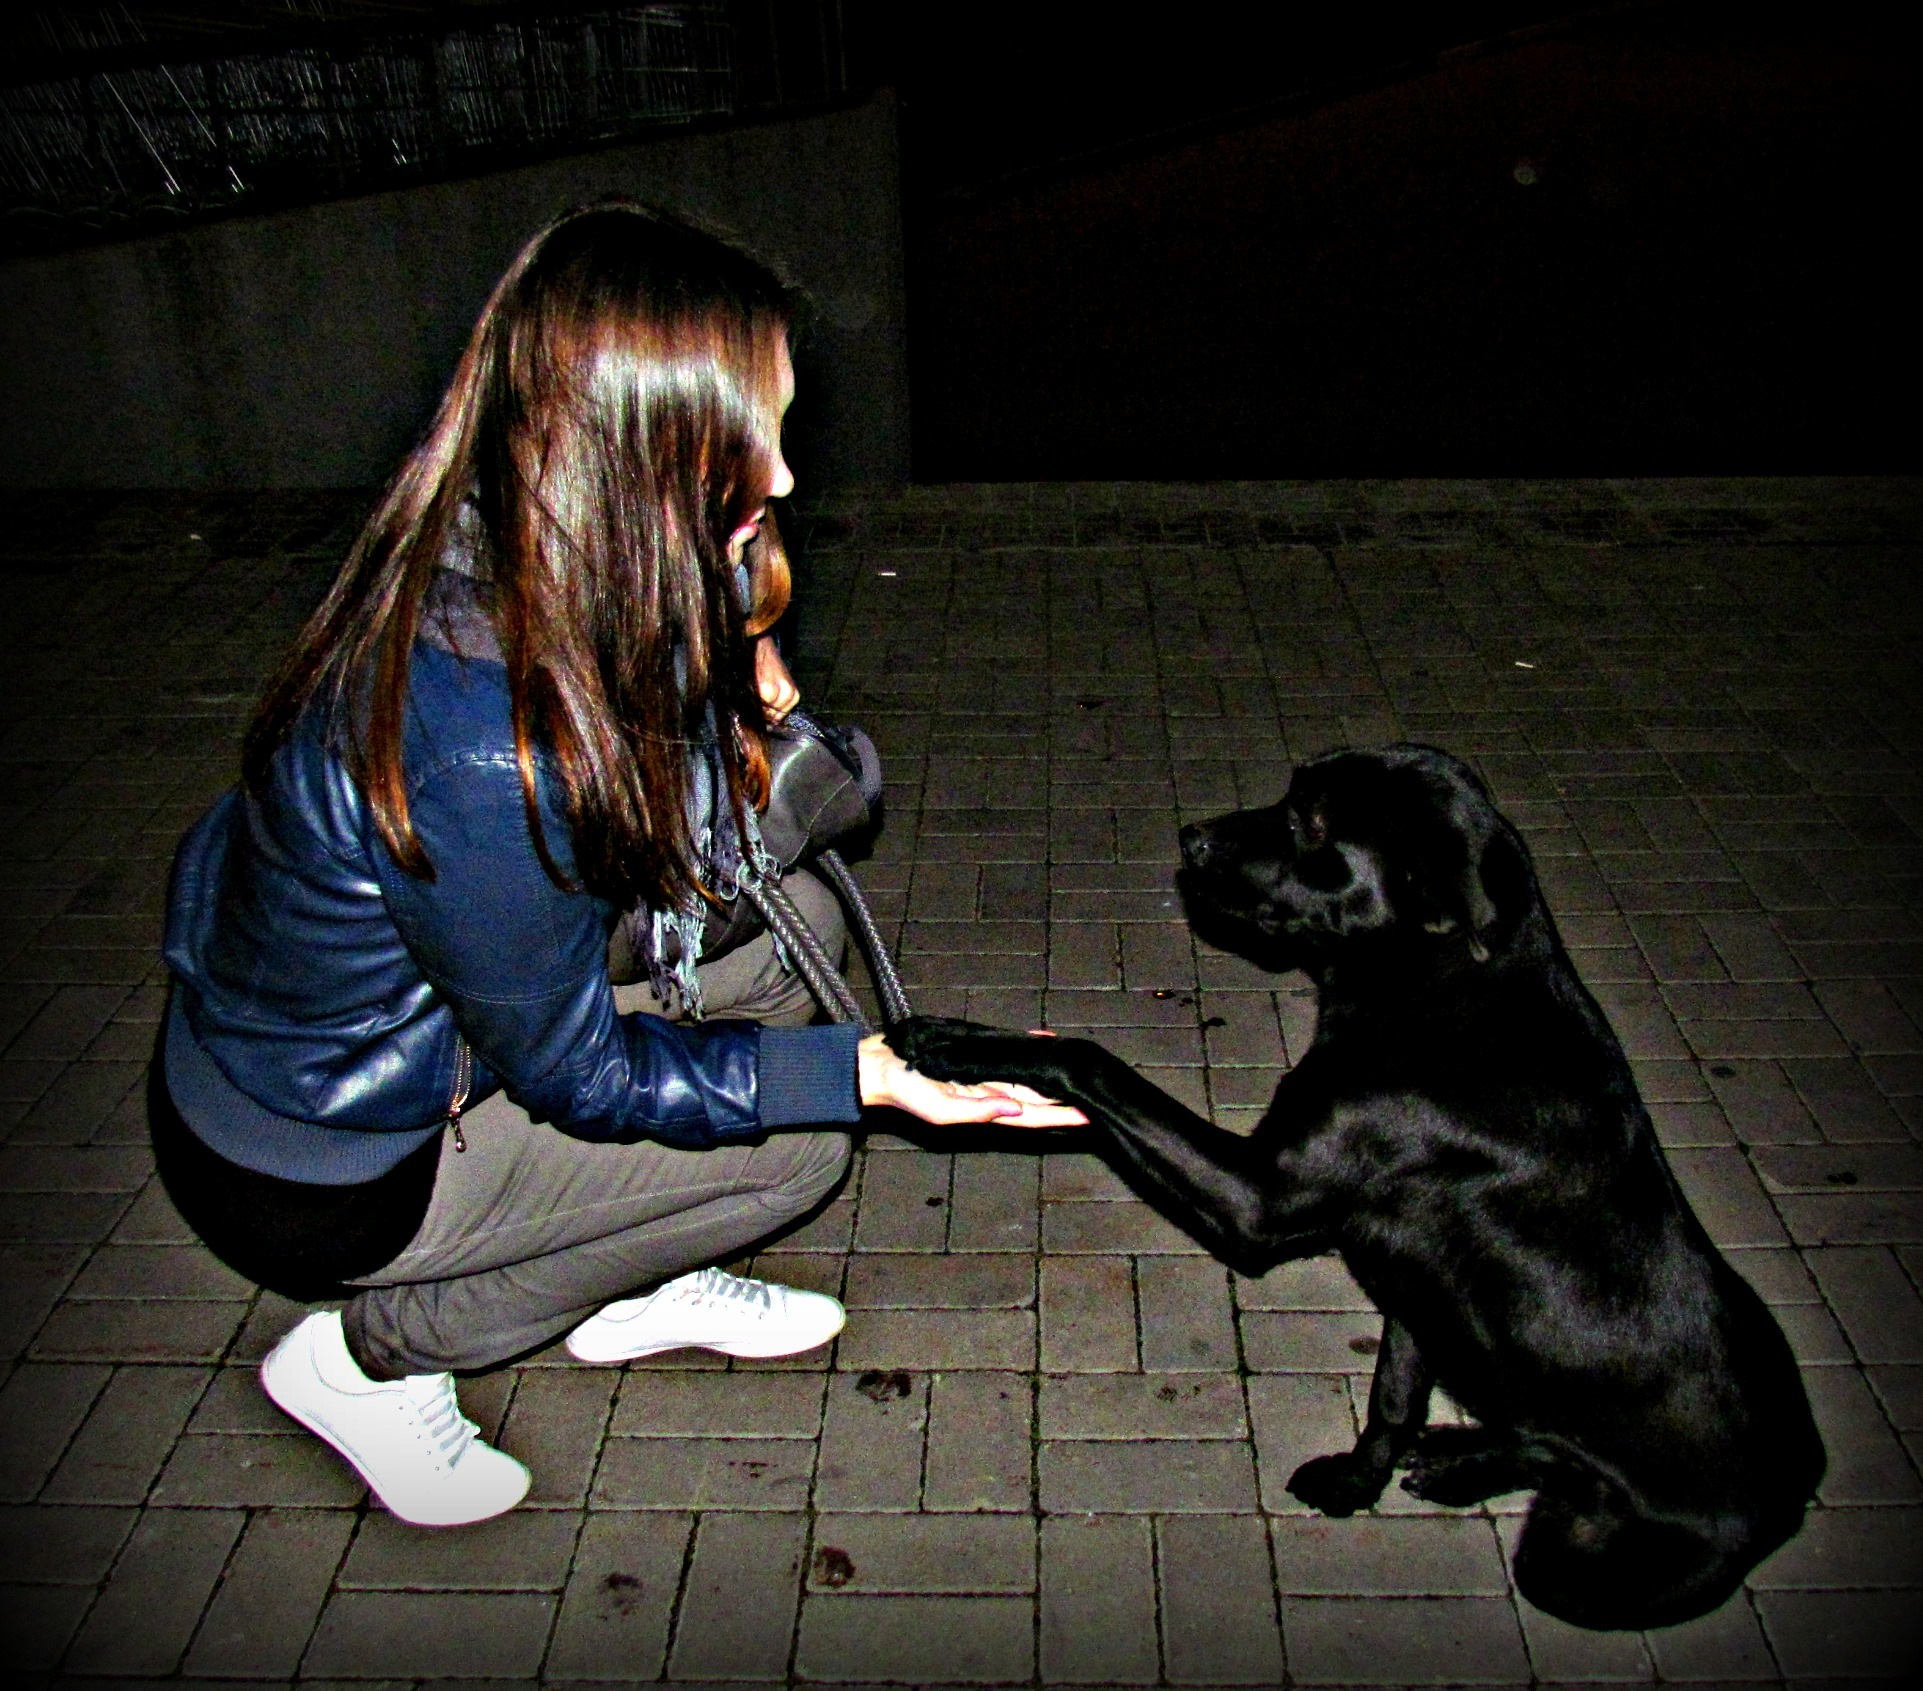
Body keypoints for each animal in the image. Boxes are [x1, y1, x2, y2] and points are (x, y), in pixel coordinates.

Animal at [899, 744, 1824, 1631]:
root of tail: (1802, 1479)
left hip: (1574, 1563)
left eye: (1308, 822)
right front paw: (1355, 1482)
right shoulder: (1414, 1293)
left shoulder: (1258, 1195)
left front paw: (956, 1040)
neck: (1441, 986)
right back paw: (1458, 1459)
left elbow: (1090, 1057)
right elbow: (1391, 1398)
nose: (1191, 838)